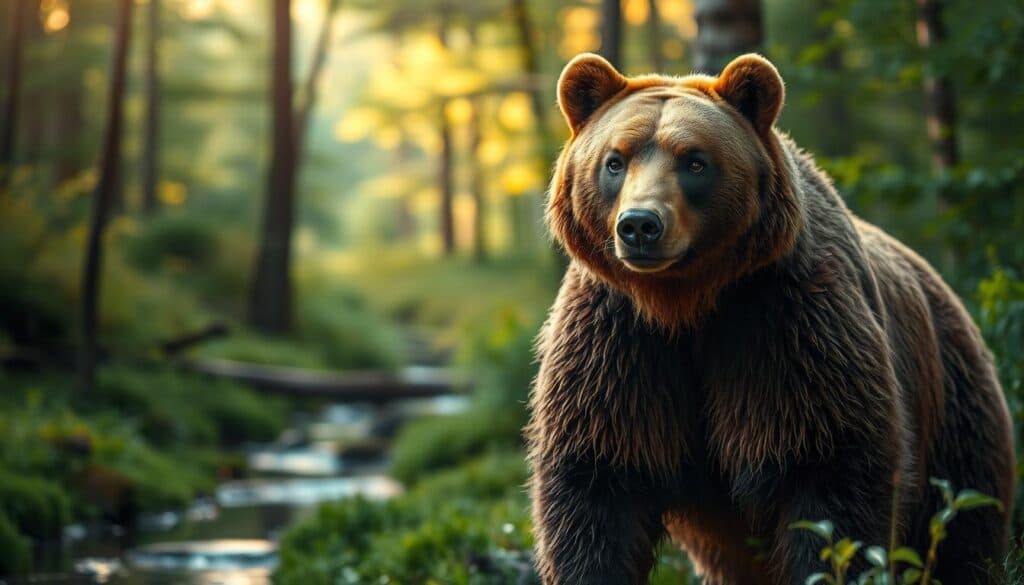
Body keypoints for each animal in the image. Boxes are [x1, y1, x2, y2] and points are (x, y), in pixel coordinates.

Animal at [526, 52, 1015, 585]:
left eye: (695, 161)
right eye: (614, 161)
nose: (639, 225)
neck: (683, 302)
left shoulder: (783, 326)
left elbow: (831, 473)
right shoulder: (618, 347)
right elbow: (596, 488)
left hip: (954, 413)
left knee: (961, 527)